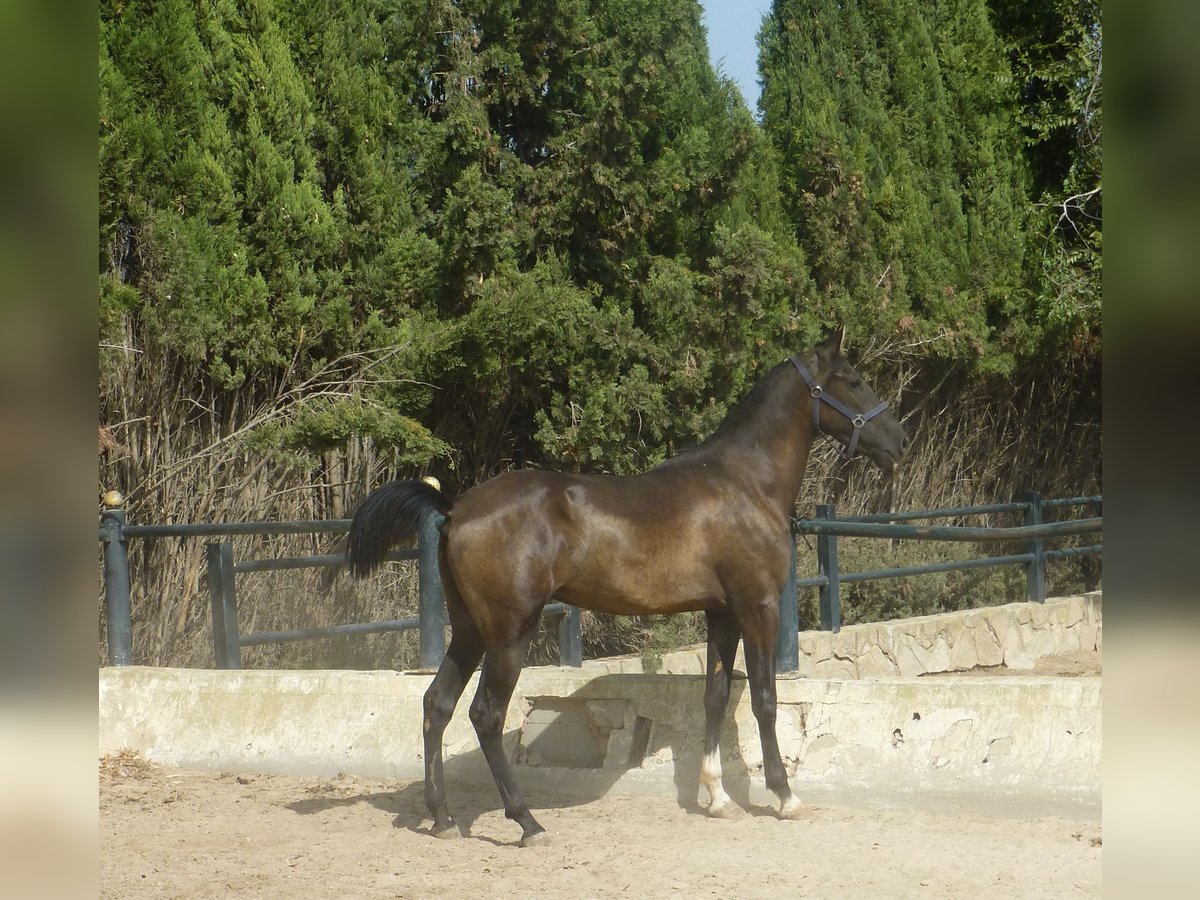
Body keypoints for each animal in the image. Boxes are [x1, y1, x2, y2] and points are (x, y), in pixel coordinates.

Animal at [350, 328, 907, 849]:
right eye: (853, 380)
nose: (899, 442)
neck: (744, 483)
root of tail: (455, 508)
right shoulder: (758, 607)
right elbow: (764, 699)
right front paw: (785, 796)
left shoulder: (722, 613)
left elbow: (715, 696)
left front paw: (718, 798)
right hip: (508, 635)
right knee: (485, 714)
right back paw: (527, 822)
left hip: (469, 631)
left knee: (437, 704)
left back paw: (443, 818)